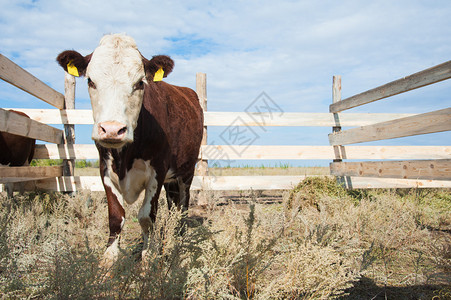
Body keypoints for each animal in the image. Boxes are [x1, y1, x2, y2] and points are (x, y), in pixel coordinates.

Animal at [56, 34, 203, 266]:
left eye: (140, 83)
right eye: (90, 81)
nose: (112, 129)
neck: (124, 156)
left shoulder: (157, 171)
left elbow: (146, 217)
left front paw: (148, 257)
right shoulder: (105, 170)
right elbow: (116, 217)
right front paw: (108, 261)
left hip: (186, 171)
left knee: (183, 205)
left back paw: (179, 240)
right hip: (171, 179)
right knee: (173, 205)